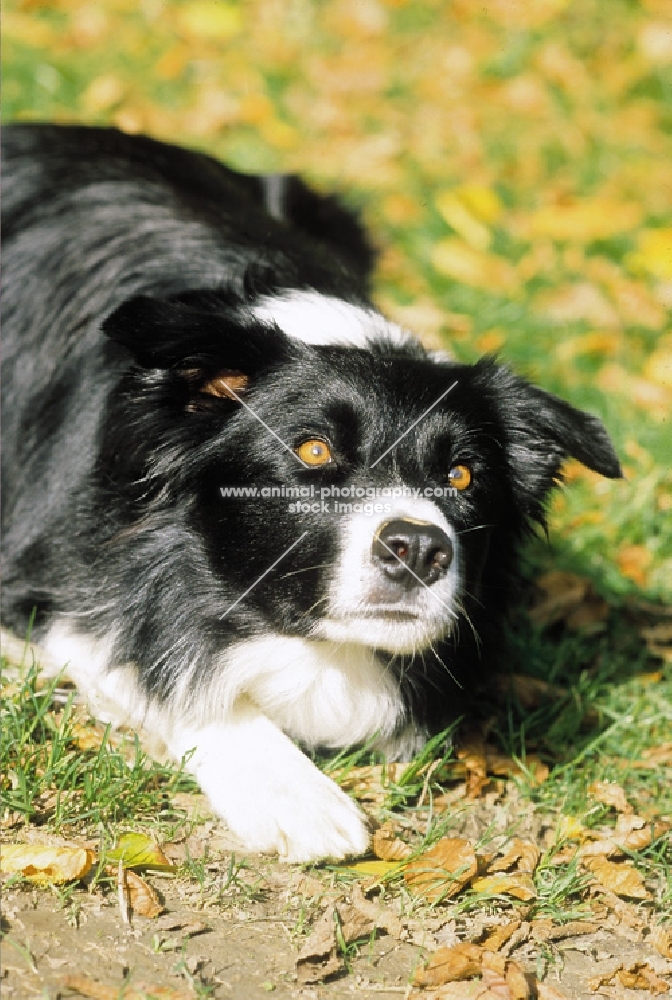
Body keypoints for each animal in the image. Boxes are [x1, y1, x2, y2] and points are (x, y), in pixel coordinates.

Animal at [0, 125, 624, 860]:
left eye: (462, 476)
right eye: (314, 451)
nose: (418, 550)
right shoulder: (51, 577)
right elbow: (159, 666)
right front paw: (292, 793)